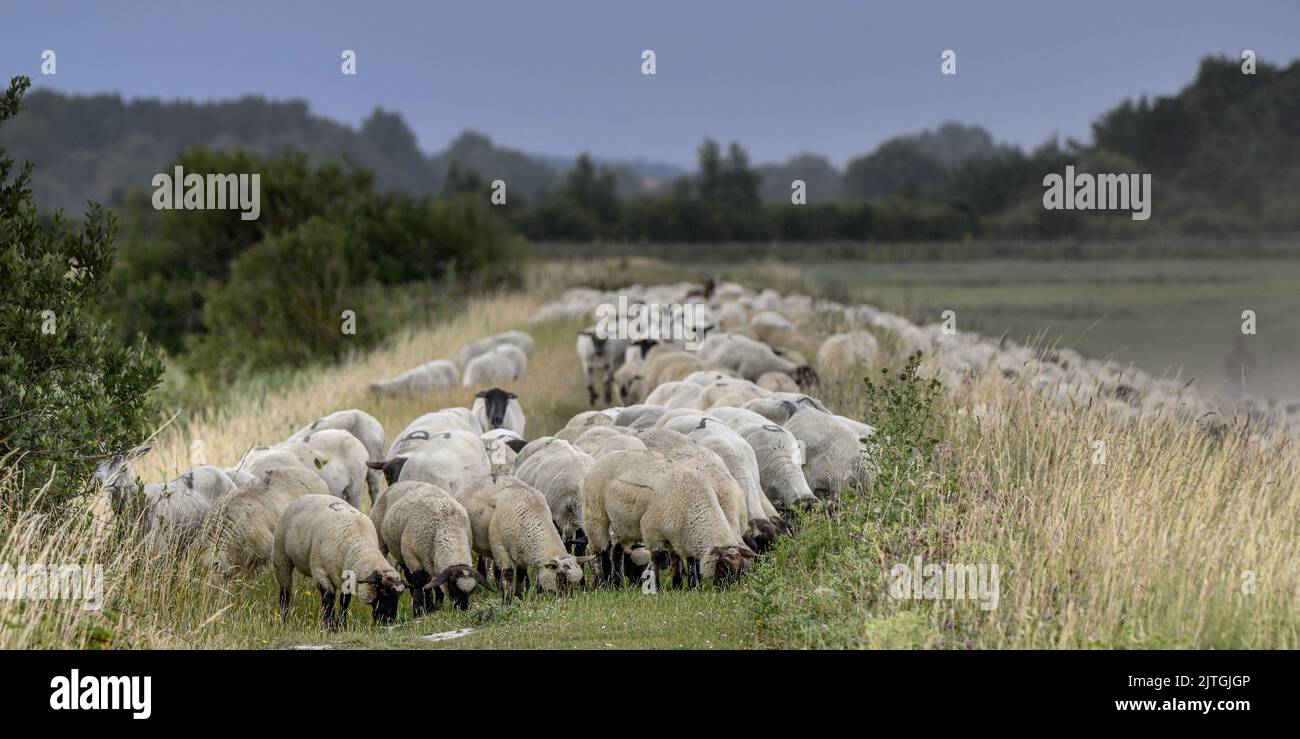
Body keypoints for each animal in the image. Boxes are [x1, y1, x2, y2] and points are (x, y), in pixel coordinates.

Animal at [276, 494, 408, 627]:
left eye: (399, 596)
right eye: (382, 591)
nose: (388, 620)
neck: (357, 542)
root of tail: (306, 496)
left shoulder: (347, 578)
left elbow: (344, 602)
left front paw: (341, 625)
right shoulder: (321, 573)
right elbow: (328, 600)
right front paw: (329, 626)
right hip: (281, 557)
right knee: (285, 593)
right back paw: (284, 621)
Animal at [379, 478, 496, 611]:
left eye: (473, 589)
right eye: (453, 585)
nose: (462, 608)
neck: (448, 528)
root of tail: (401, 483)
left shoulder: (432, 561)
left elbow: (434, 583)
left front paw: (435, 606)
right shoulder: (412, 556)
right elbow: (420, 582)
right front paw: (419, 610)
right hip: (381, 540)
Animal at [454, 473, 592, 601]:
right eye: (561, 578)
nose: (568, 601)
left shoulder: (522, 553)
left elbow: (521, 577)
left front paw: (520, 597)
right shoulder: (501, 549)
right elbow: (509, 575)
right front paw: (507, 601)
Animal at [585, 450, 759, 588]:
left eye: (740, 572)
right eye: (724, 567)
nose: (726, 590)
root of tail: (606, 456)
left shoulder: (679, 534)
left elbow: (684, 560)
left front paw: (686, 586)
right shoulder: (652, 530)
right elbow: (657, 558)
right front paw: (657, 587)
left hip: (623, 524)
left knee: (617, 550)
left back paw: (618, 585)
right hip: (596, 515)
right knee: (599, 550)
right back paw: (602, 583)